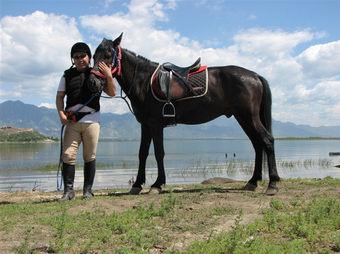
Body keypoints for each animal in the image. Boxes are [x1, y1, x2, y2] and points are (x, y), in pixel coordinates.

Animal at [89, 33, 280, 195]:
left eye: (108, 54)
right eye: (94, 55)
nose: (93, 81)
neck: (144, 81)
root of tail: (255, 76)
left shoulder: (156, 124)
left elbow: (159, 153)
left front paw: (157, 184)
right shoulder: (146, 124)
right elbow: (142, 153)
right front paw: (137, 185)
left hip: (249, 117)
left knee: (267, 141)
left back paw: (272, 184)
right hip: (243, 118)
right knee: (257, 144)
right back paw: (252, 182)